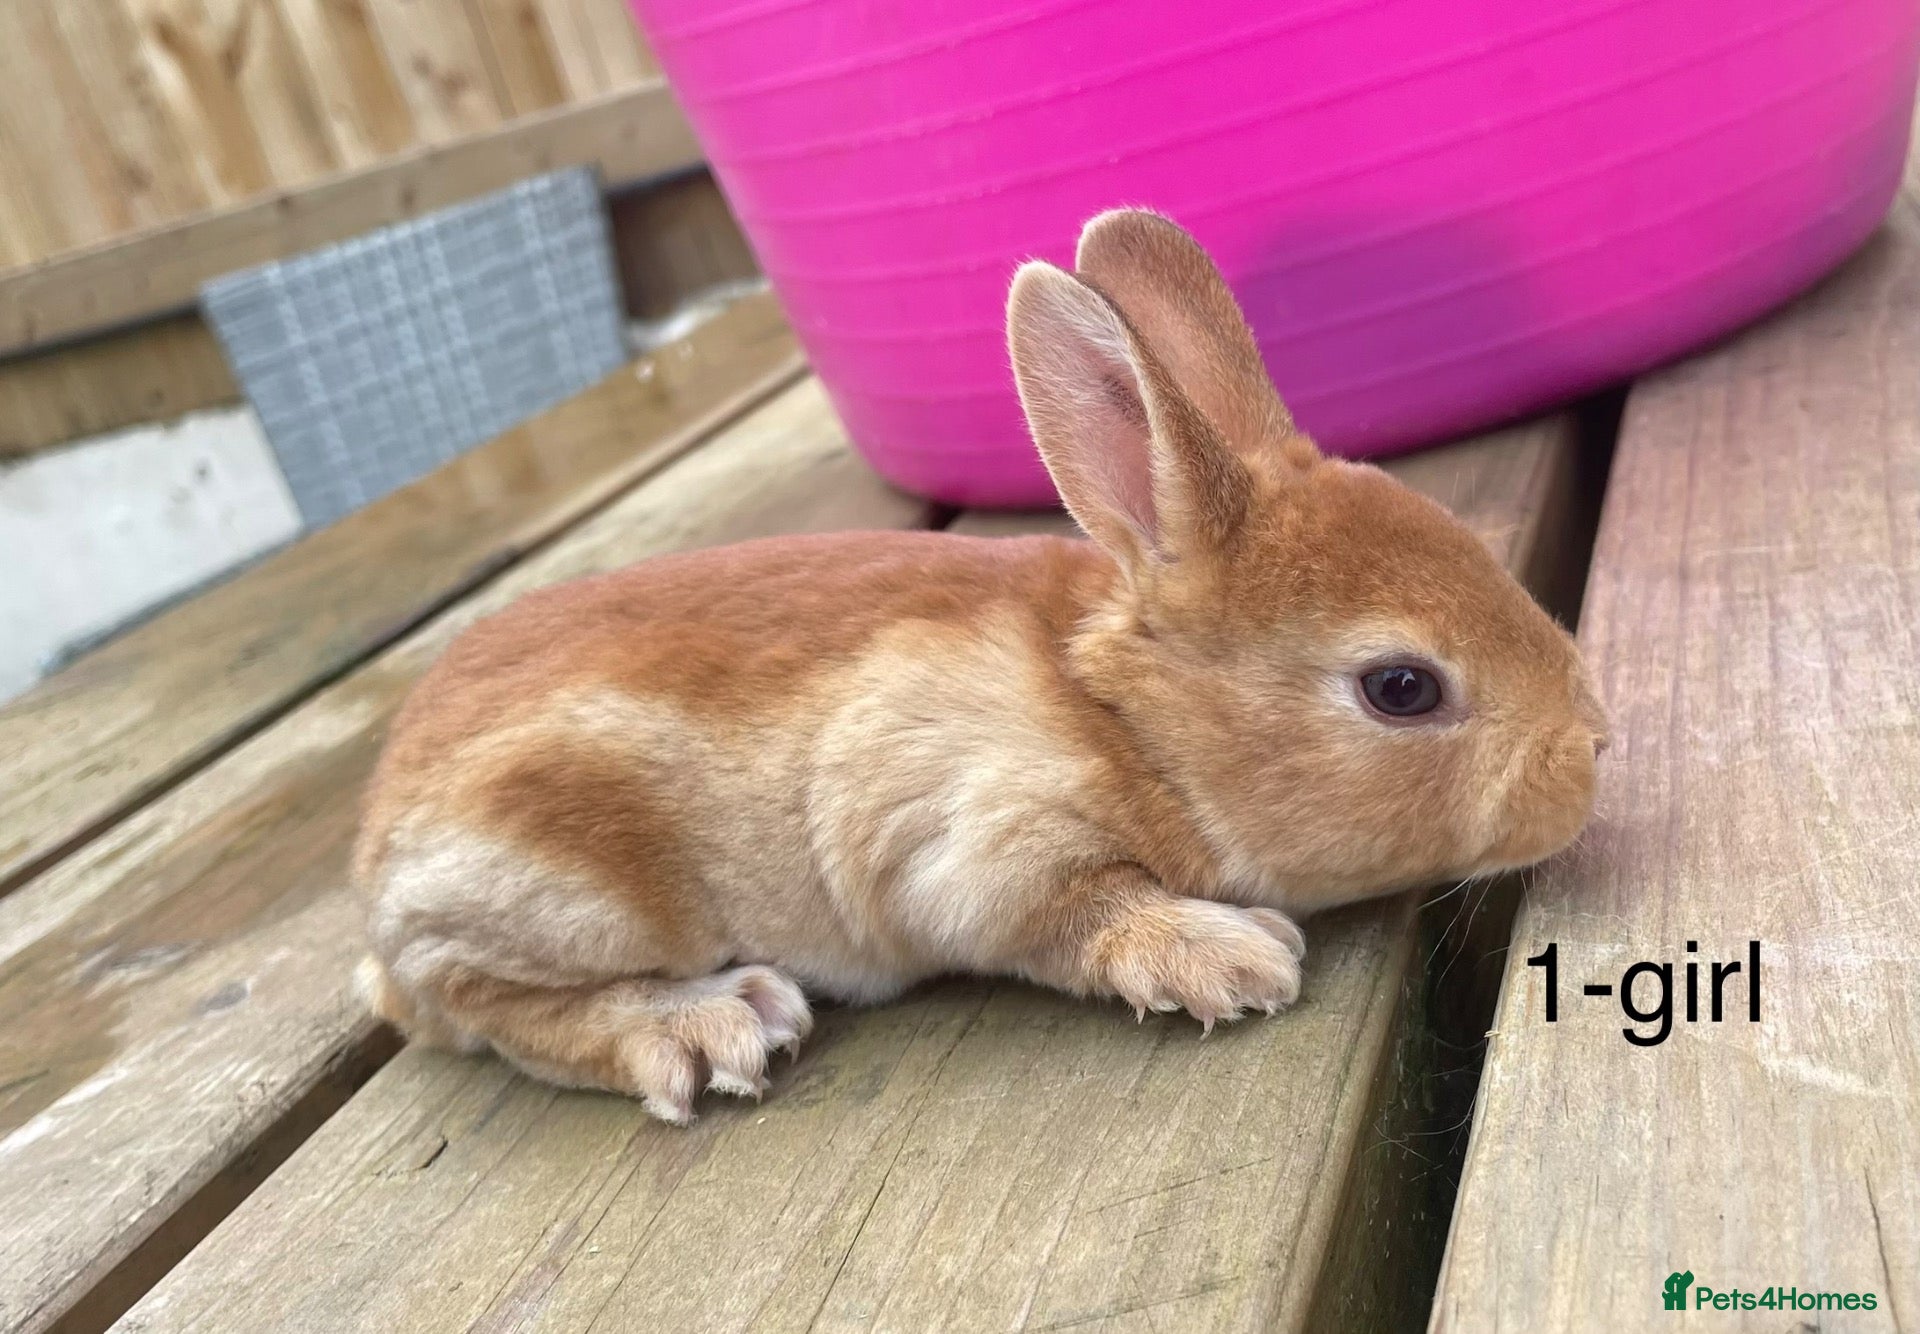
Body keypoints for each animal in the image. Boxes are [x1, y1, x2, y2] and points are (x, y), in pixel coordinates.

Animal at [353, 208, 1607, 1125]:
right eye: (1402, 688)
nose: (1591, 752)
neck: (1128, 720)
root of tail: (377, 858)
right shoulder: (972, 842)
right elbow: (1081, 910)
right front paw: (1228, 955)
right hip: (565, 881)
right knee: (485, 1002)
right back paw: (702, 1024)